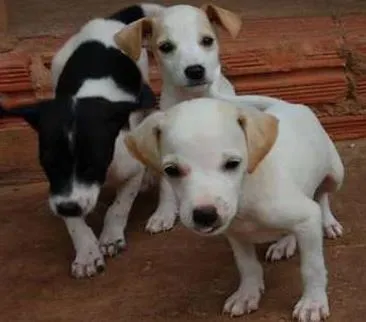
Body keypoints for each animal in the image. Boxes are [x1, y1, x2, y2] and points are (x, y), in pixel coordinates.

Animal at [0, 2, 163, 278]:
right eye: (48, 164)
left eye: (91, 165)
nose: (67, 208)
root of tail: (107, 20)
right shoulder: (59, 192)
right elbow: (75, 224)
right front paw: (87, 252)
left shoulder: (131, 170)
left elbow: (119, 206)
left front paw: (110, 236)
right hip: (57, 64)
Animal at [115, 2, 243, 234]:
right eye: (166, 47)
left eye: (207, 40)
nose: (195, 70)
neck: (194, 99)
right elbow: (166, 186)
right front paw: (163, 213)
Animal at [124, 96, 344, 322]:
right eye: (171, 170)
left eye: (232, 163)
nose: (205, 215)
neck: (244, 196)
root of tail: (291, 105)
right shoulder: (236, 234)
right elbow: (247, 266)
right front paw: (247, 294)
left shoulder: (307, 218)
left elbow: (312, 267)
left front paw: (313, 302)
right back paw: (285, 243)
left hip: (336, 175)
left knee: (322, 196)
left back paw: (327, 223)